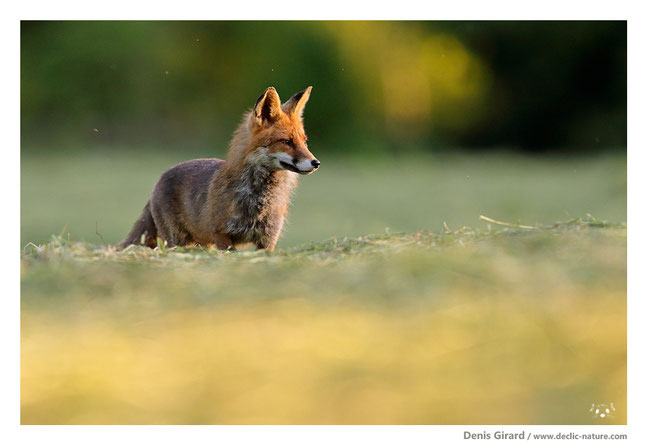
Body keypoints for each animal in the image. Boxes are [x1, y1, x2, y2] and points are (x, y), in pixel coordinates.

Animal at [118, 86, 318, 253]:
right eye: (286, 142)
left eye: (305, 142)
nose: (316, 162)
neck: (257, 198)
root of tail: (160, 177)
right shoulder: (221, 233)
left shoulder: (267, 239)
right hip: (178, 241)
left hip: (202, 243)